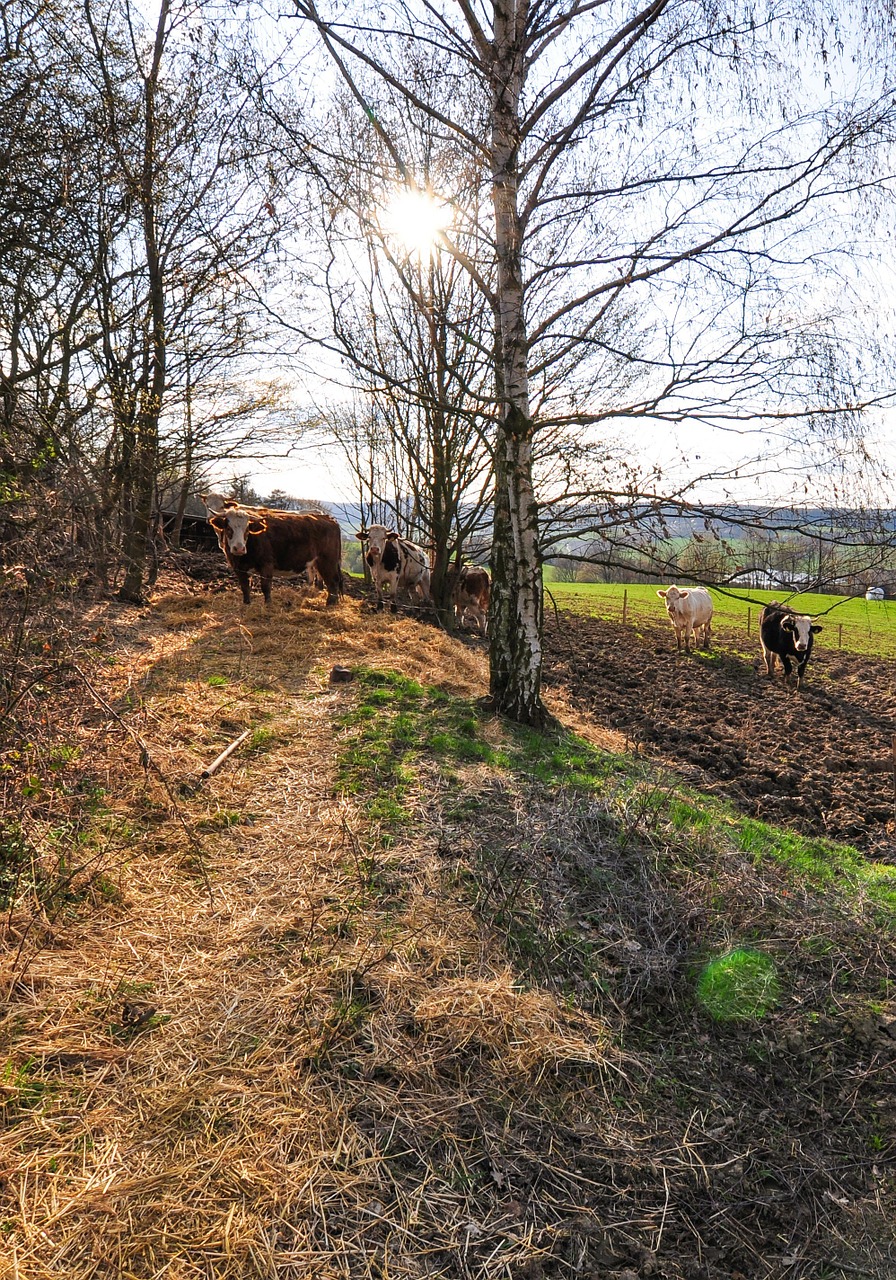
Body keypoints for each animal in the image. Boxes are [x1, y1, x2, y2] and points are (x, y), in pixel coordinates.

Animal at [203, 494, 343, 604]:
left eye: (247, 529)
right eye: (228, 528)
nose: (239, 548)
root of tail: (328, 518)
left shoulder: (267, 564)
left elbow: (265, 587)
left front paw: (268, 605)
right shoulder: (239, 568)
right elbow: (245, 587)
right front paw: (246, 604)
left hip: (327, 561)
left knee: (332, 582)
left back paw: (330, 604)